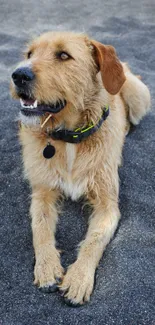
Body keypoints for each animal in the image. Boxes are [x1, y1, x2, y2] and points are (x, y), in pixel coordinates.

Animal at [10, 31, 151, 306]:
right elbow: (39, 228)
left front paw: (78, 279)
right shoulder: (42, 192)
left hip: (138, 96)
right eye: (29, 54)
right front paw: (47, 267)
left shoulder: (108, 205)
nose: (18, 75)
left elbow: (93, 241)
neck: (69, 138)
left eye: (64, 55)